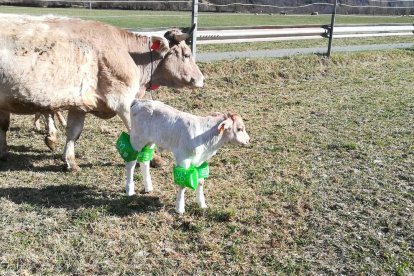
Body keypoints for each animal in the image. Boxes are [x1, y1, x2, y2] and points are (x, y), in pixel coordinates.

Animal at [0, 15, 204, 171]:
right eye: (186, 54)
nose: (202, 79)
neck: (128, 53)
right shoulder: (123, 101)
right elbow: (138, 132)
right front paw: (156, 160)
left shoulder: (79, 104)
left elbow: (73, 132)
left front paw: (70, 161)